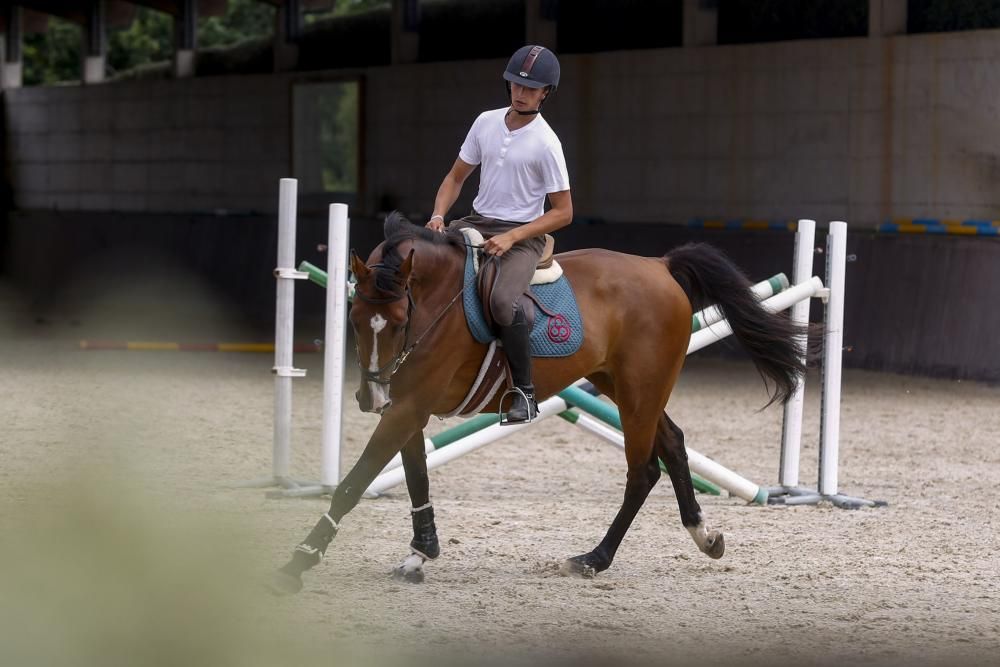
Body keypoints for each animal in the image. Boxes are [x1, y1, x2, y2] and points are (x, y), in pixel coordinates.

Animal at [270, 213, 808, 596]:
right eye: (354, 320)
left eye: (399, 320)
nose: (371, 395)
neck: (437, 302)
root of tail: (658, 266)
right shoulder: (406, 407)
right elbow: (417, 477)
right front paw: (420, 554)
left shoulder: (407, 407)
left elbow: (353, 484)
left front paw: (299, 561)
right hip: (623, 386)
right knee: (673, 444)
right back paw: (704, 536)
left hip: (640, 392)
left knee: (643, 471)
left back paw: (593, 559)